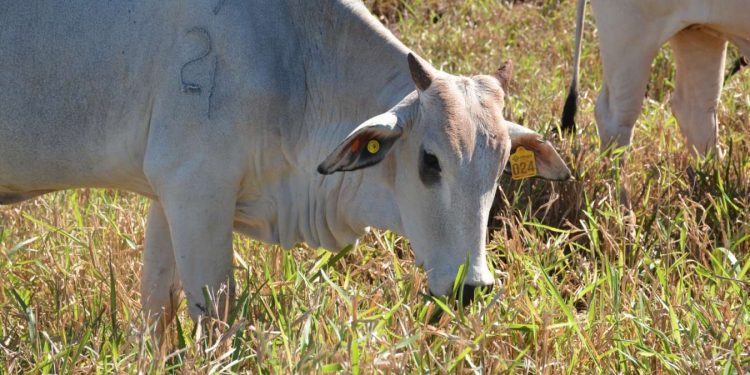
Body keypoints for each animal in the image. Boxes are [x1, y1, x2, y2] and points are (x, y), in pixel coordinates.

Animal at [1, 0, 568, 330]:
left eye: (500, 168)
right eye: (430, 161)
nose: (473, 287)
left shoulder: (169, 197)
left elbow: (156, 312)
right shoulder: (197, 192)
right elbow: (215, 318)